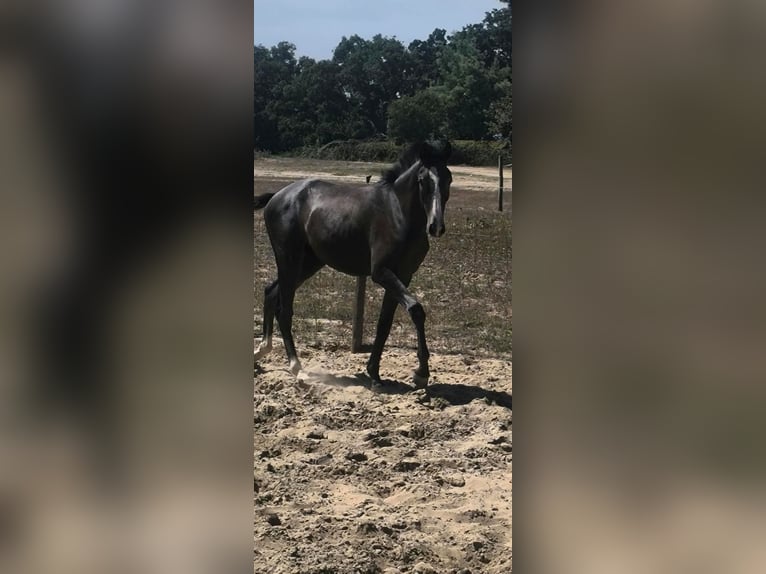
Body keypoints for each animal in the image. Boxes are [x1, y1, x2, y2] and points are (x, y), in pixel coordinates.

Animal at [254, 140, 452, 388]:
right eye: (423, 180)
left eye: (449, 178)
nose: (436, 227)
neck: (398, 214)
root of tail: (278, 196)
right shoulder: (381, 272)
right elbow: (416, 309)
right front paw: (421, 373)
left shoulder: (403, 275)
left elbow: (384, 323)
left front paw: (374, 374)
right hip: (288, 258)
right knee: (284, 310)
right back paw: (296, 367)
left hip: (309, 263)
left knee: (271, 292)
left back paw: (262, 351)